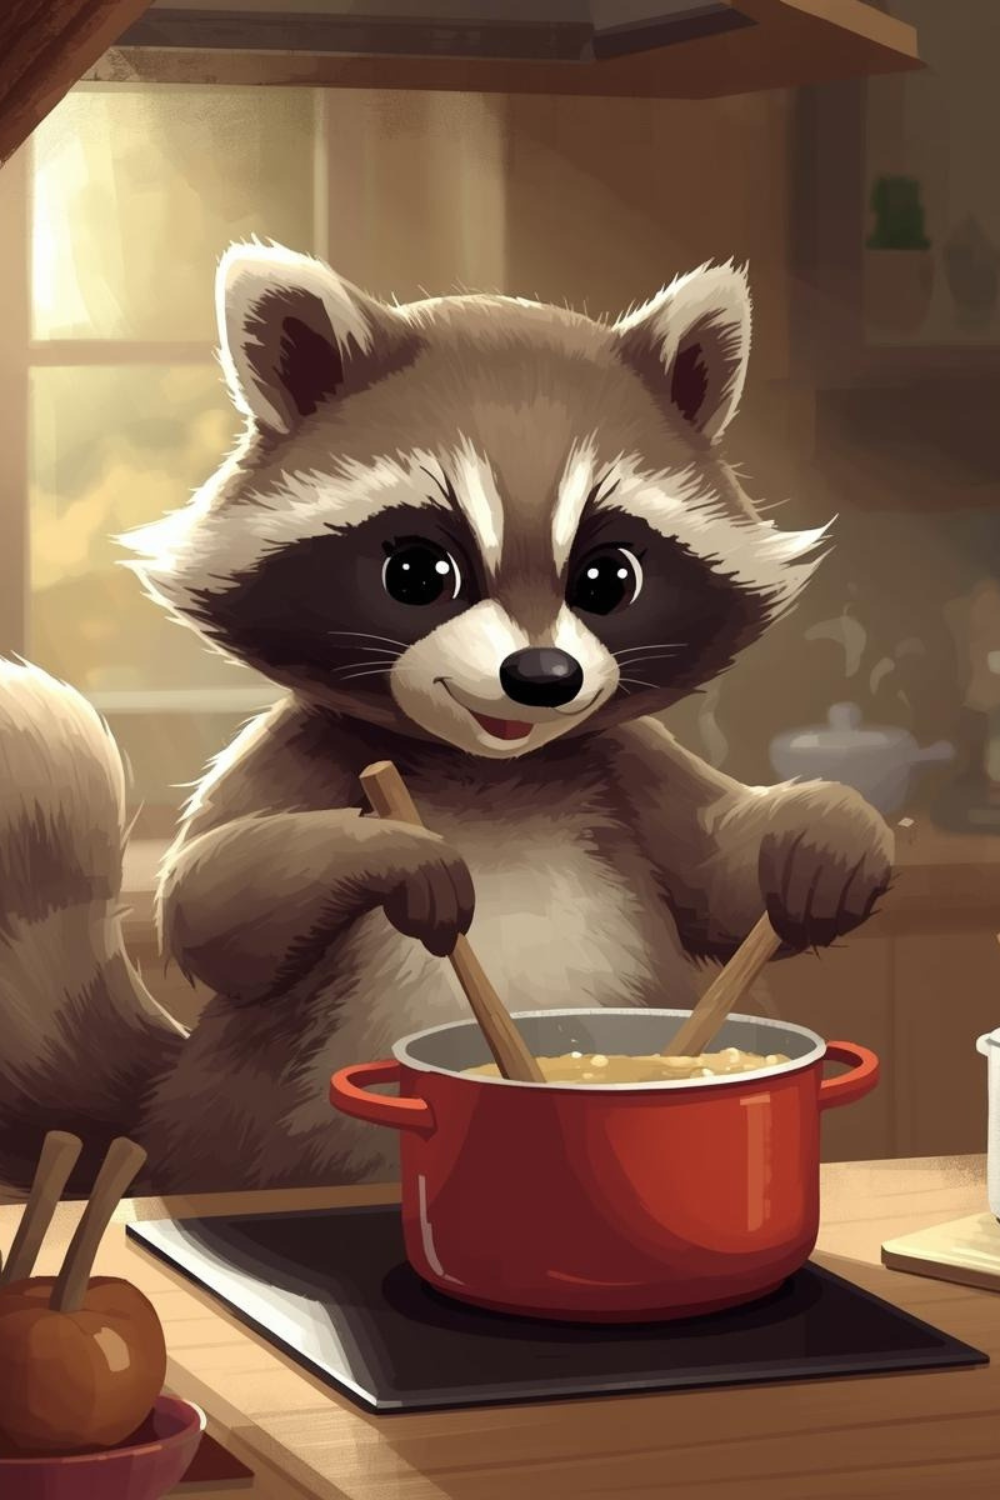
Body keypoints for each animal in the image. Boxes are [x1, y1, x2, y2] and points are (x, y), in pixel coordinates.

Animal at [0, 244, 892, 1195]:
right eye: (418, 573)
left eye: (610, 577)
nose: (543, 678)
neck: (492, 769)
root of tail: (155, 1114)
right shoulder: (304, 748)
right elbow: (211, 910)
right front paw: (394, 851)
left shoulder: (620, 761)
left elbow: (719, 872)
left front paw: (823, 833)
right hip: (238, 1122)